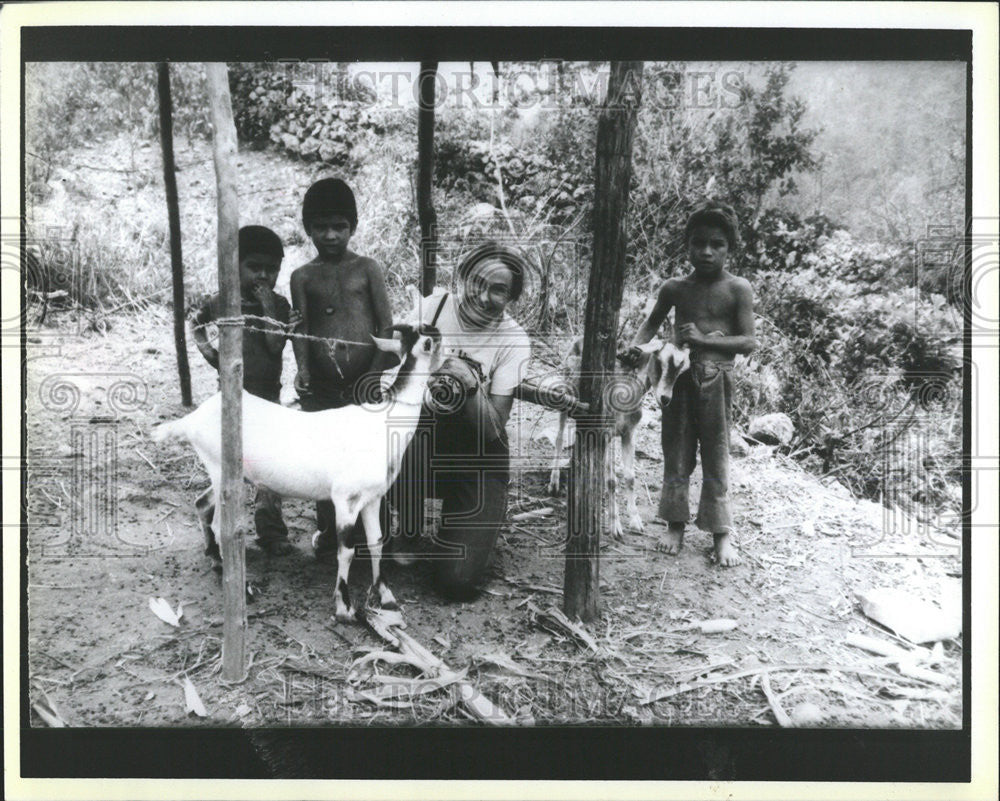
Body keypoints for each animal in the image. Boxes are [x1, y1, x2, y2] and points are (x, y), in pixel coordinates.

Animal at [152, 284, 442, 620]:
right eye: (427, 340)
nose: (440, 334)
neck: (381, 422)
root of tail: (193, 419)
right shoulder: (345, 499)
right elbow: (346, 550)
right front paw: (344, 607)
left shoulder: (372, 497)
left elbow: (376, 542)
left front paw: (386, 596)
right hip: (222, 470)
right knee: (220, 524)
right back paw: (242, 586)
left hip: (228, 476)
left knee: (201, 504)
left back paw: (215, 561)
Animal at [548, 338, 688, 536]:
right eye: (659, 362)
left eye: (680, 370)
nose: (665, 398)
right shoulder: (605, 433)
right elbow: (612, 480)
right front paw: (615, 527)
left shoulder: (629, 433)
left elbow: (630, 477)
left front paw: (636, 521)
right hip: (565, 397)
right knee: (559, 438)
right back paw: (553, 484)